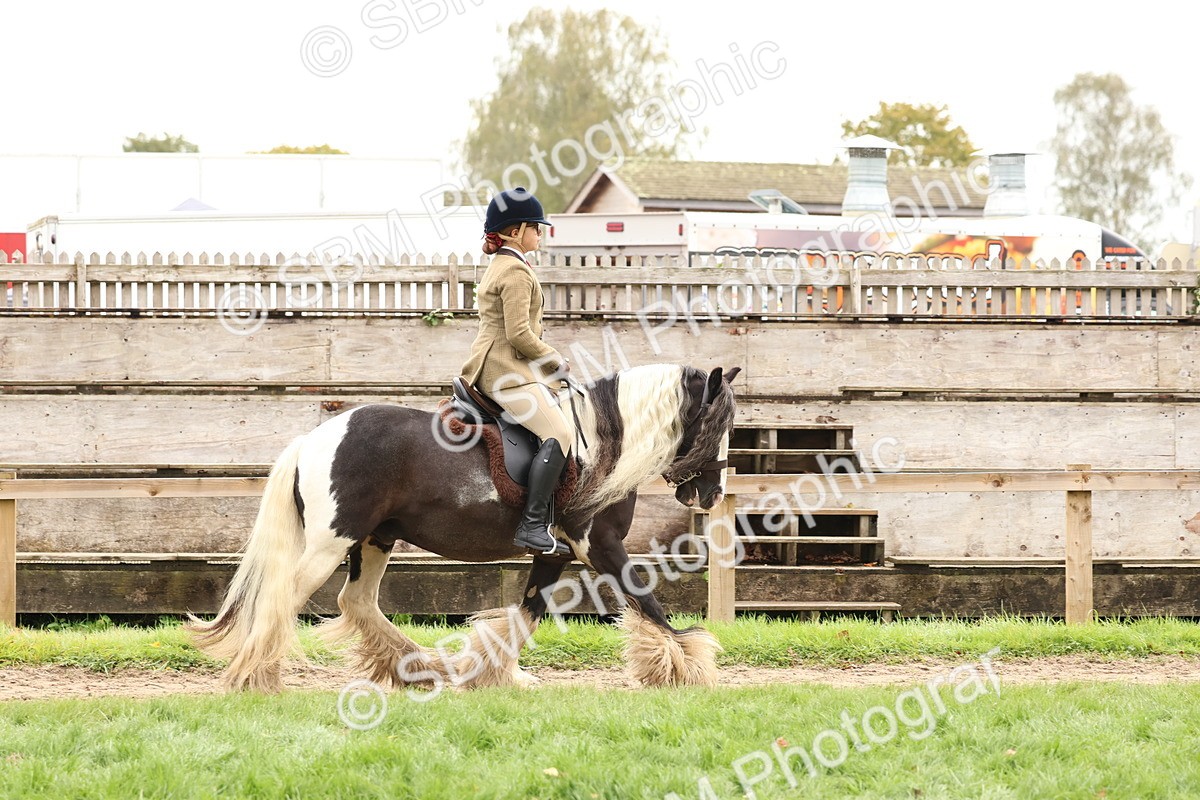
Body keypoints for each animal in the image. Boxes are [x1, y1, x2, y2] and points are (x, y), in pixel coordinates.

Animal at [187, 363, 740, 693]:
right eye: (719, 425)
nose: (710, 494)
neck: (601, 448)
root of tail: (314, 438)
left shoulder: (556, 551)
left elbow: (528, 612)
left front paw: (494, 673)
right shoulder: (598, 543)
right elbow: (647, 601)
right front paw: (686, 664)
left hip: (374, 538)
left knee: (356, 601)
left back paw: (421, 667)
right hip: (332, 542)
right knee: (282, 597)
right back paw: (256, 676)